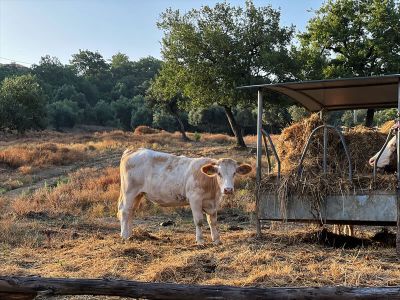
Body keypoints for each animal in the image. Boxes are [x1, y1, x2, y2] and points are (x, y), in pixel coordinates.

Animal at [117, 149, 252, 245]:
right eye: (219, 173)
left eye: (234, 173)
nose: (228, 189)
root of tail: (133, 150)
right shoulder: (195, 199)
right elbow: (199, 221)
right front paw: (200, 241)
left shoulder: (213, 203)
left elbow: (213, 221)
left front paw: (217, 240)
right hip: (129, 191)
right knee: (125, 211)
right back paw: (124, 236)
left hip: (138, 194)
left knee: (131, 212)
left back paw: (130, 235)